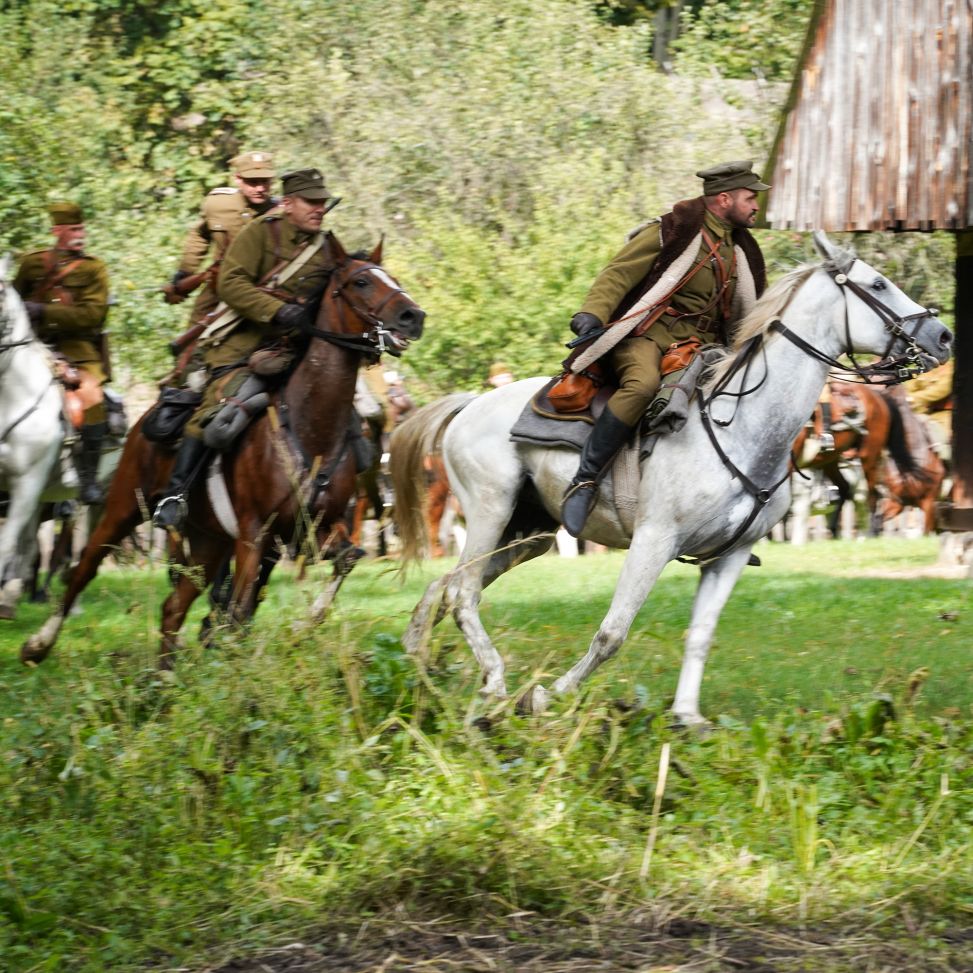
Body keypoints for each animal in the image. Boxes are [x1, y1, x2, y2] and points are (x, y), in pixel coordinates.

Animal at [21, 232, 426, 664]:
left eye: (393, 277)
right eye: (361, 282)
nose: (413, 317)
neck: (310, 427)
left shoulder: (312, 529)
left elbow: (345, 562)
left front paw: (302, 625)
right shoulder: (254, 534)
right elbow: (239, 604)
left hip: (209, 540)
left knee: (173, 607)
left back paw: (163, 678)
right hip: (123, 510)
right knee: (85, 568)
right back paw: (39, 643)